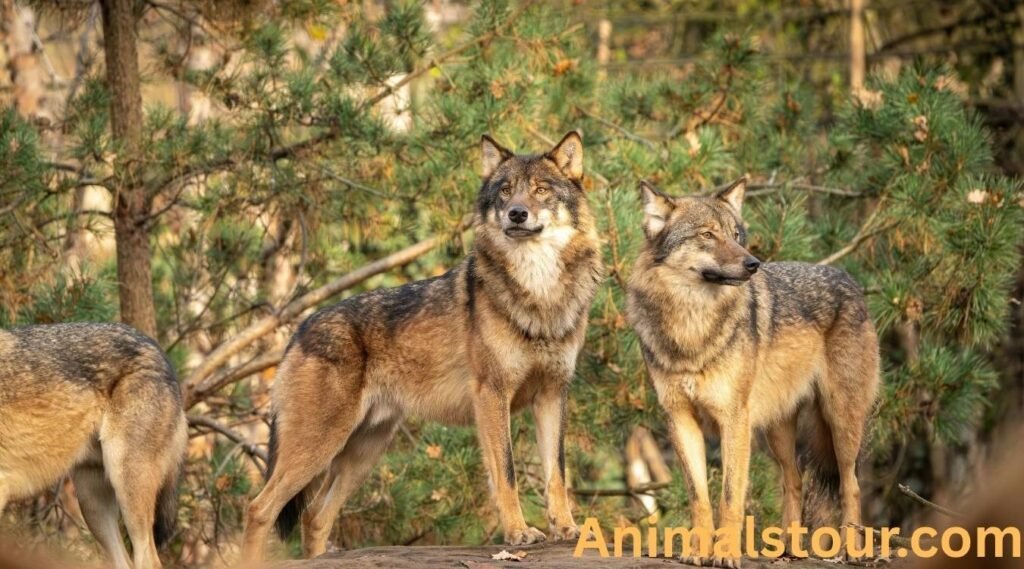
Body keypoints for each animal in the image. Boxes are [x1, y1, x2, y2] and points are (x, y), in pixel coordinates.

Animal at [240, 131, 604, 561]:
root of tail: (299, 329)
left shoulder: (552, 394)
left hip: (362, 453)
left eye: (541, 190)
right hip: (320, 447)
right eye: (505, 190)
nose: (517, 214)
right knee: (259, 508)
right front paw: (518, 533)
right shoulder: (492, 395)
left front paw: (566, 528)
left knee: (314, 517)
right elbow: (508, 472)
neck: (540, 293)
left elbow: (556, 473)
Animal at [626, 178, 880, 567]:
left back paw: (852, 550)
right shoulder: (680, 420)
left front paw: (727, 555)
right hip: (777, 430)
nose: (753, 264)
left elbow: (730, 497)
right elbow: (699, 497)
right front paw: (697, 552)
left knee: (851, 484)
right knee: (794, 479)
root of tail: (849, 279)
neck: (692, 326)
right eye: (707, 234)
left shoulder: (733, 420)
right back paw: (788, 549)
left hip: (840, 420)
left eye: (736, 235)